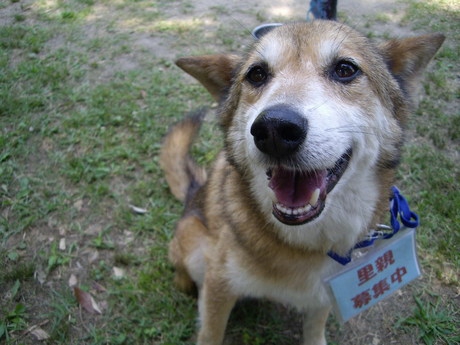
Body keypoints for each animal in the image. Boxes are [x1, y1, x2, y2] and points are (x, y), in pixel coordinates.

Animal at [160, 20, 444, 344]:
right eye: (257, 74)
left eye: (345, 69)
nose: (274, 128)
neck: (304, 241)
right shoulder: (219, 285)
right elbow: (210, 333)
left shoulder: (325, 291)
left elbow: (315, 328)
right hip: (194, 246)